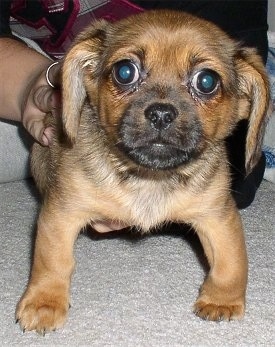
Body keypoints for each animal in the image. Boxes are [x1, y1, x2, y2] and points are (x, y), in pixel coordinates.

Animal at [15, 10, 272, 334]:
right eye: (125, 72)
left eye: (206, 81)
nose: (161, 113)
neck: (149, 177)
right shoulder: (61, 213)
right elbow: (52, 261)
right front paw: (44, 303)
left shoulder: (217, 216)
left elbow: (231, 263)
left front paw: (222, 300)